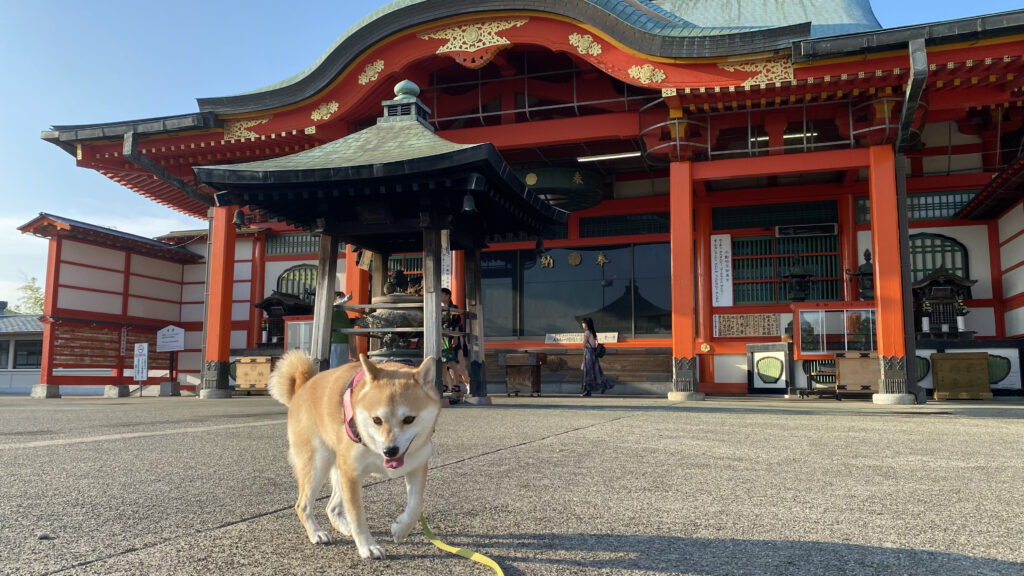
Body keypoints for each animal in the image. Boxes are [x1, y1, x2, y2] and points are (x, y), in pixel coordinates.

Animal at [268, 348, 440, 557]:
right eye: (376, 420)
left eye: (409, 419)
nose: (390, 451)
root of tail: (302, 389)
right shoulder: (351, 473)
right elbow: (357, 515)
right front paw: (367, 546)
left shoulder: (417, 465)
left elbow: (416, 506)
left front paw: (400, 529)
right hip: (318, 463)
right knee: (303, 505)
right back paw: (316, 532)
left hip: (338, 469)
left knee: (331, 507)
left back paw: (344, 526)